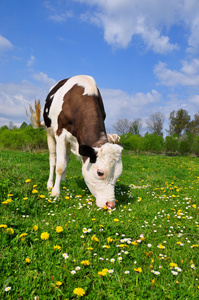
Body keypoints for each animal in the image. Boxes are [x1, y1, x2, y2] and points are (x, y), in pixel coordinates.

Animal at [29, 75, 123, 209]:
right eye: (100, 173)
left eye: (119, 174)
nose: (110, 204)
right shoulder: (60, 135)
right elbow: (59, 166)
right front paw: (55, 193)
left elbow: (64, 163)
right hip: (49, 132)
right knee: (53, 159)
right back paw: (50, 183)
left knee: (66, 158)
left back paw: (63, 180)